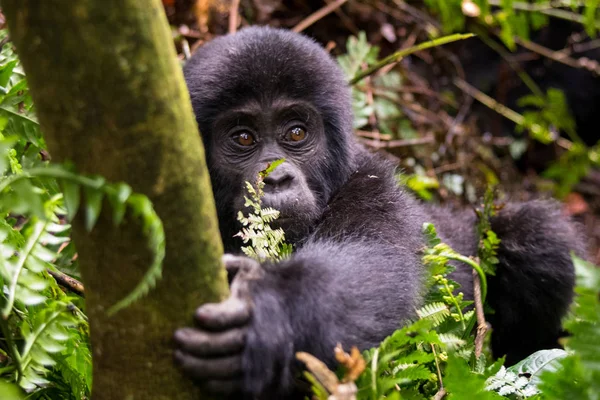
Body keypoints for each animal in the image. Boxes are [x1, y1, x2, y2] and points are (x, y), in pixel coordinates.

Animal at [171, 26, 584, 398]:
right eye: (243, 137)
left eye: (296, 133)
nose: (276, 178)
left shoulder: (372, 186)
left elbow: (375, 261)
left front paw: (273, 306)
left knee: (539, 239)